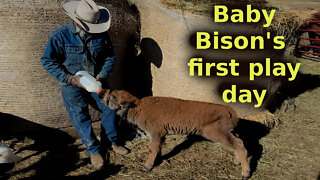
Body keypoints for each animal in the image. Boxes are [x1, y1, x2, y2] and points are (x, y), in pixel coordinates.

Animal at [100, 90, 250, 179]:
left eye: (114, 96)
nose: (102, 94)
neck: (139, 107)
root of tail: (230, 110)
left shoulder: (155, 133)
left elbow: (152, 149)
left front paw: (147, 167)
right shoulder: (161, 135)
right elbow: (159, 148)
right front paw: (158, 159)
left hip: (216, 133)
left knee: (239, 146)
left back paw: (245, 173)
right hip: (230, 132)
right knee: (240, 143)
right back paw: (237, 162)